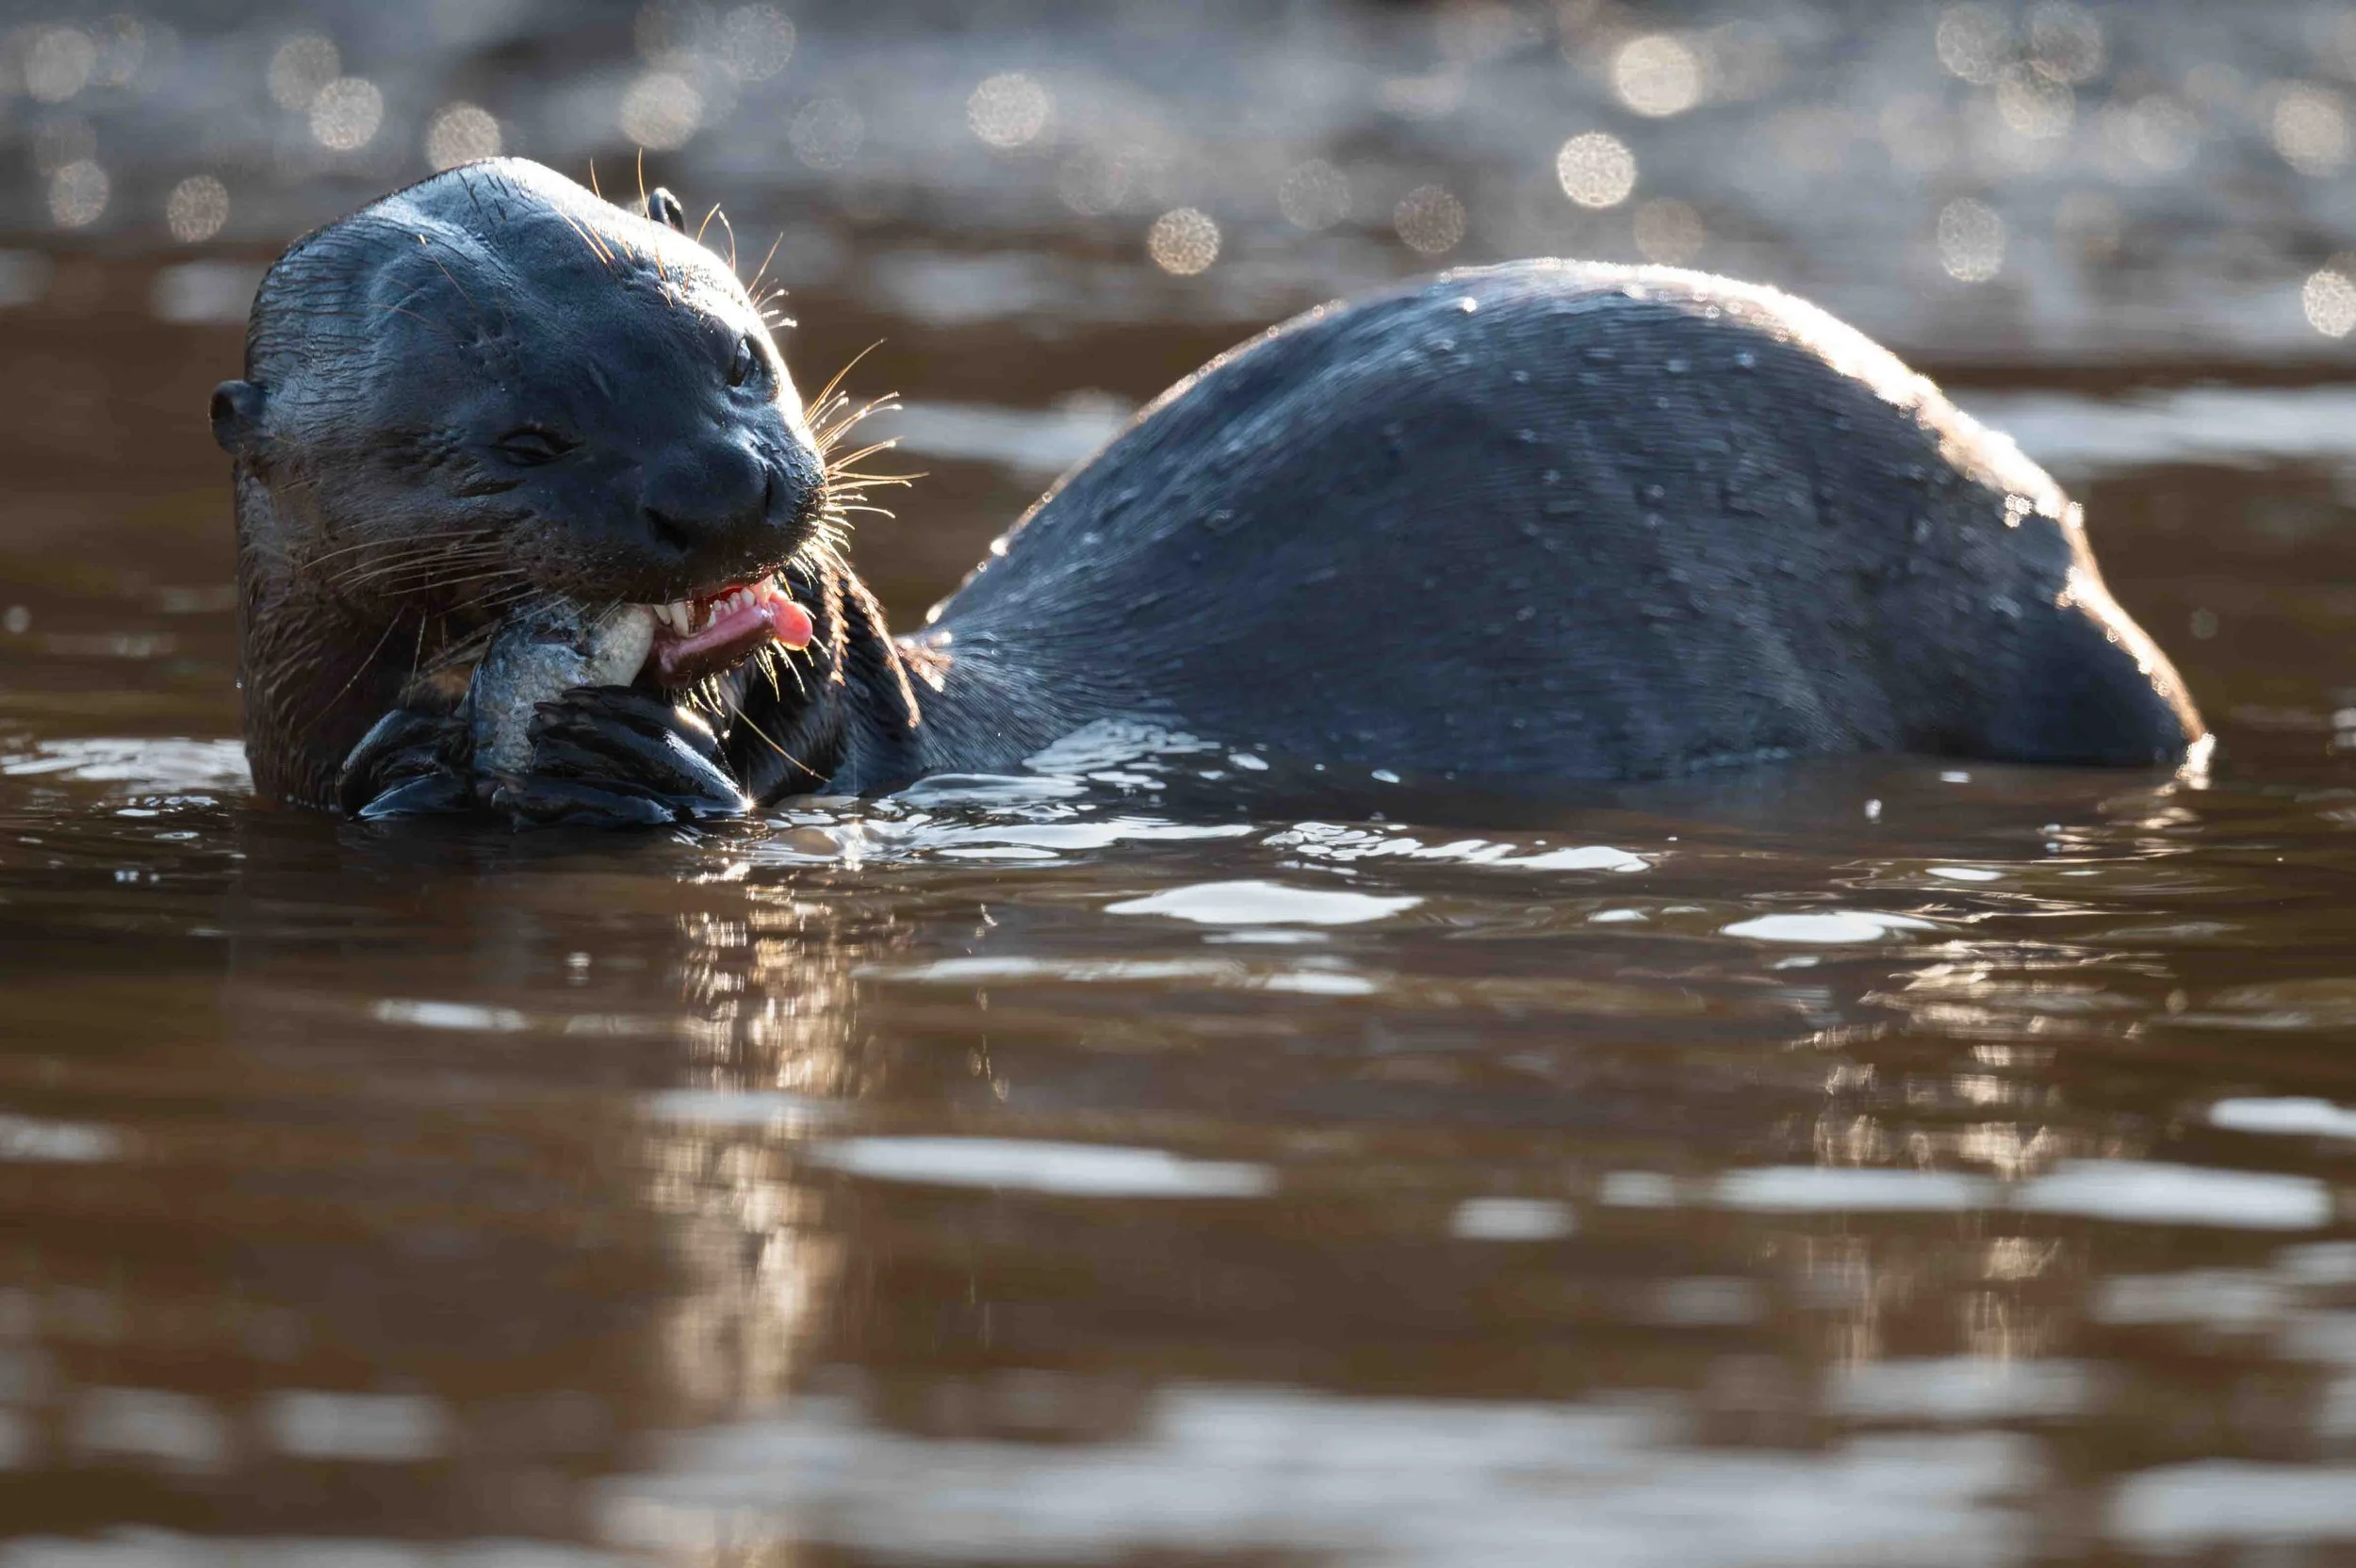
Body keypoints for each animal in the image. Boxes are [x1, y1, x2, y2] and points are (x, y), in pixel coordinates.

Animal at [213, 158, 2201, 827]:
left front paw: (610, 764)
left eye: (738, 355)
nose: (725, 486)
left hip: (2039, 633)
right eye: (522, 434)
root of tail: (2025, 485)